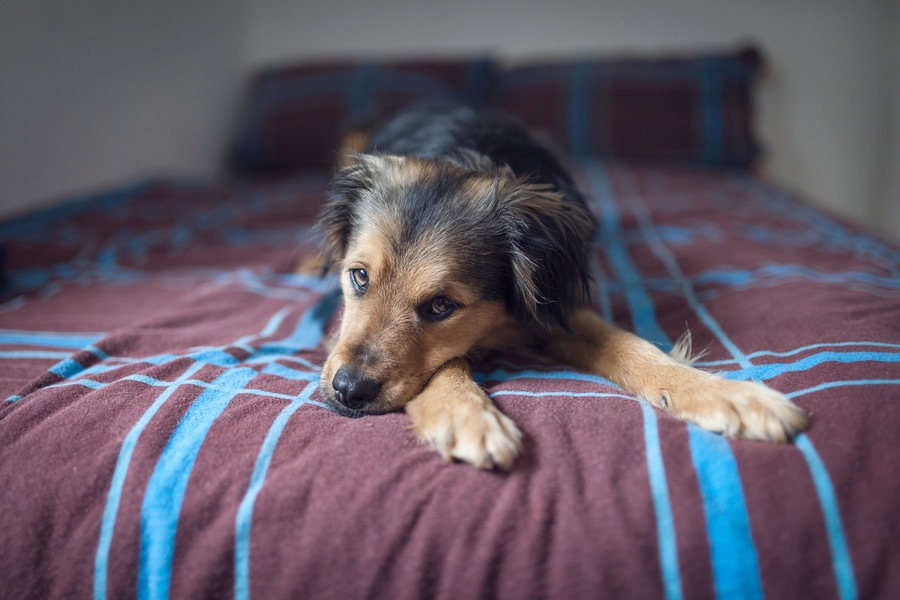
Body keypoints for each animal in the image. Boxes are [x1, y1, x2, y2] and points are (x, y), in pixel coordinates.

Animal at [312, 102, 808, 468]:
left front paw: (728, 396)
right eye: (359, 276)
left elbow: (632, 346)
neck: (466, 152)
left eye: (440, 306)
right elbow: (449, 361)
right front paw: (467, 414)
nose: (349, 391)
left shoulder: (552, 305)